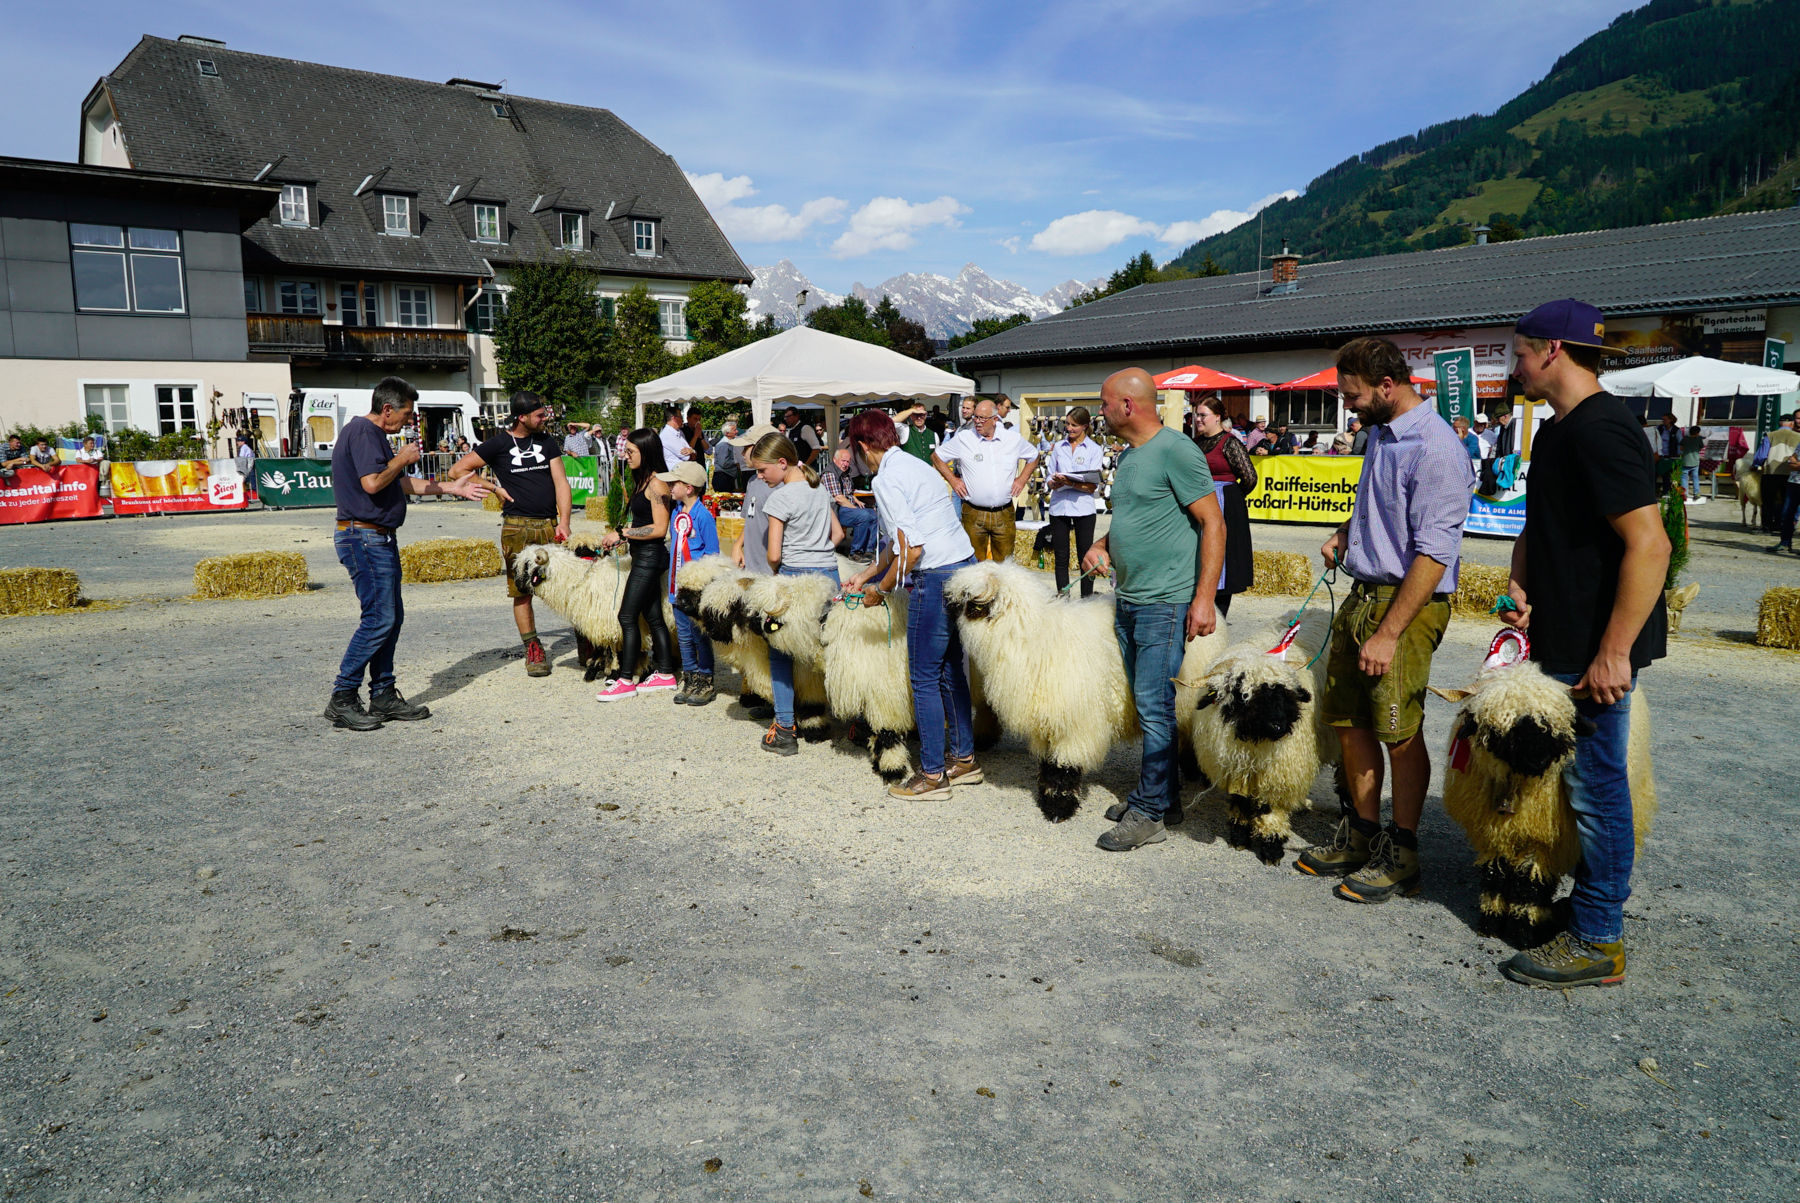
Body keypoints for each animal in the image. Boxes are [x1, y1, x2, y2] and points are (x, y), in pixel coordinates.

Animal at [943, 558, 1224, 821]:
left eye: (968, 603)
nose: (943, 605)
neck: (1032, 638)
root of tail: (1215, 615)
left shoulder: (1075, 724)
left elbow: (1064, 766)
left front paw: (1059, 807)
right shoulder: (1047, 721)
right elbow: (1048, 763)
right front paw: (1048, 797)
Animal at [1180, 612, 1339, 864]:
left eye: (1285, 694)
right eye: (1242, 695)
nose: (1278, 726)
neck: (1254, 743)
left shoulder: (1277, 772)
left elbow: (1270, 809)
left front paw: (1271, 847)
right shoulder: (1236, 766)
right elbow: (1241, 802)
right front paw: (1239, 836)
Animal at [1432, 659, 1656, 950]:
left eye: (1551, 727)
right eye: (1503, 729)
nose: (1537, 758)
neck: (1517, 785)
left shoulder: (1545, 841)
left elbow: (1530, 885)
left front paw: (1523, 931)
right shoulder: (1495, 833)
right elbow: (1495, 876)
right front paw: (1491, 921)